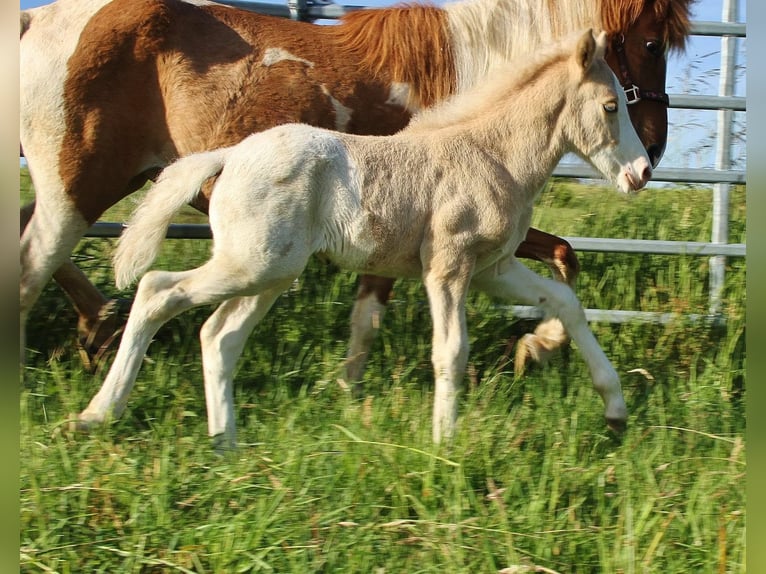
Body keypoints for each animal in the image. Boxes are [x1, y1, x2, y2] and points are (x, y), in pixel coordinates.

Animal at [19, 0, 692, 374]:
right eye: (652, 42)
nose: (652, 153)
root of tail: (33, 19)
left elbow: (561, 255)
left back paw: (97, 327)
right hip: (79, 186)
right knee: (31, 263)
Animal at [76, 29, 652, 446]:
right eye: (610, 106)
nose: (642, 173)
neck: (491, 154)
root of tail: (231, 155)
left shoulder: (493, 269)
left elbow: (566, 303)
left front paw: (615, 409)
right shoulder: (447, 266)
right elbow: (451, 351)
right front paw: (446, 447)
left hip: (270, 273)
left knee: (219, 336)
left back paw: (225, 444)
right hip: (250, 265)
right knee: (157, 291)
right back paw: (98, 414)